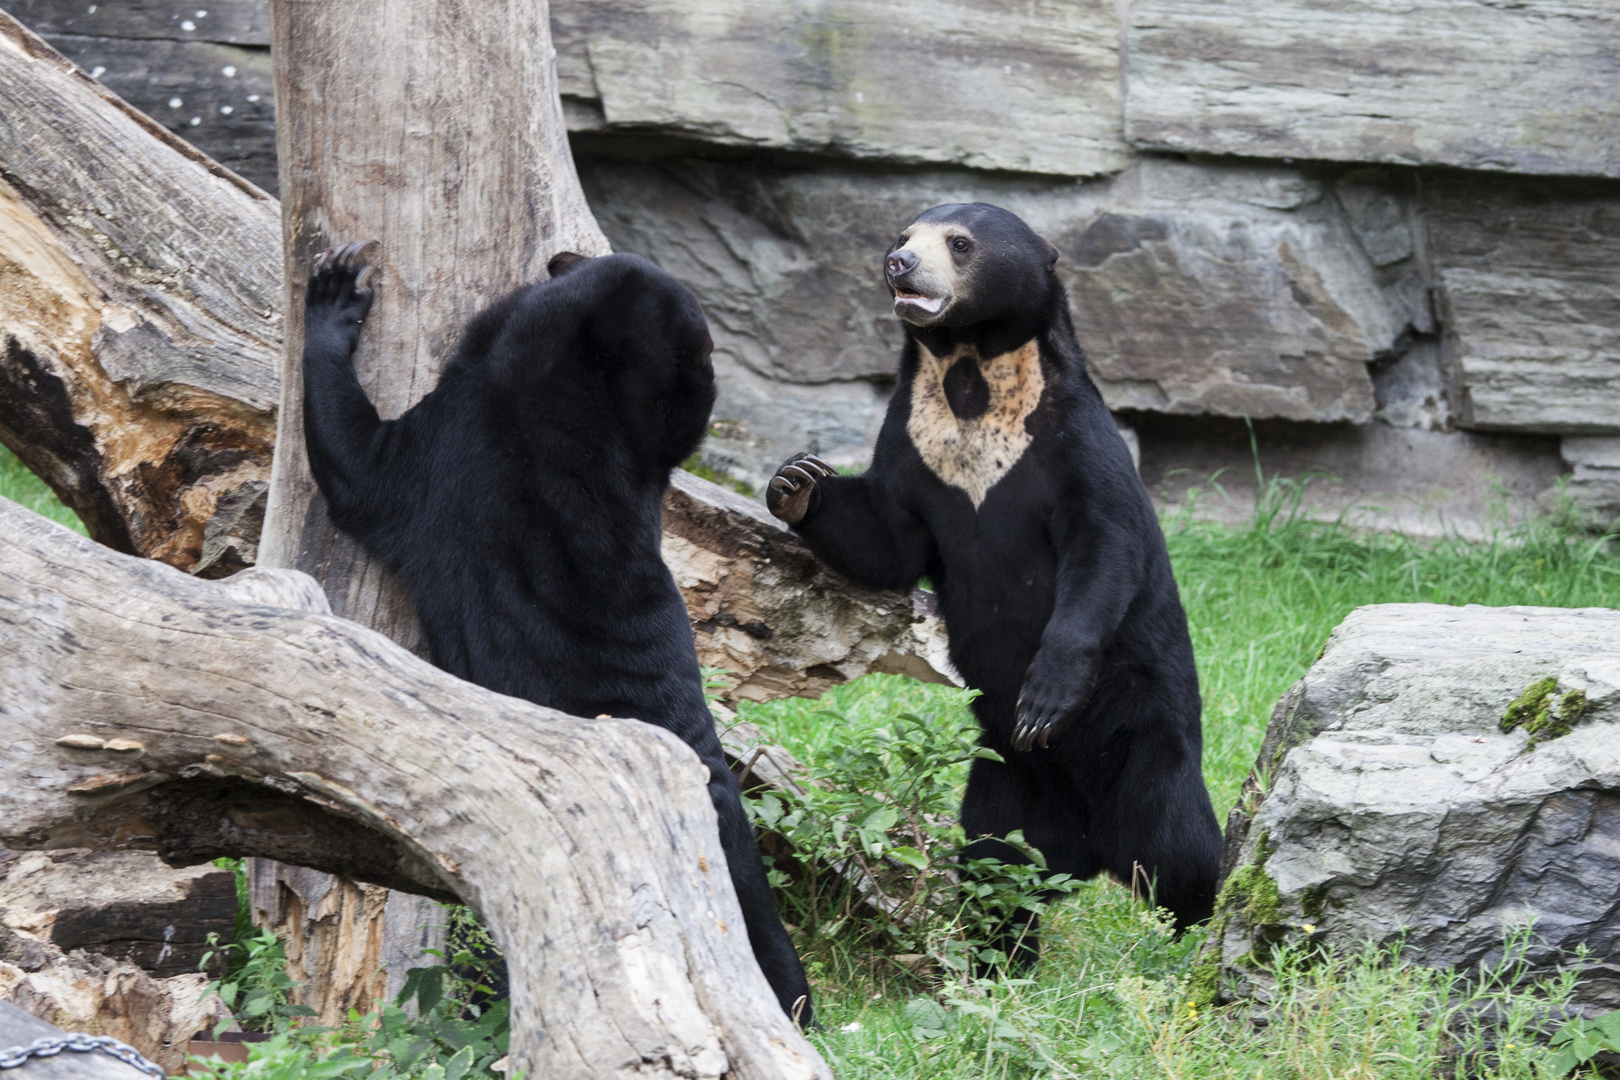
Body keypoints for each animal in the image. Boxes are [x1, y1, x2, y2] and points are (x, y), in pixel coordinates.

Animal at [767, 204, 1218, 952]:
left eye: (959, 243)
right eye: (902, 237)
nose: (898, 265)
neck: (969, 375)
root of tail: (1089, 853)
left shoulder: (1070, 440)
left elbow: (1103, 549)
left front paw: (1042, 701)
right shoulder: (914, 441)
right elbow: (887, 535)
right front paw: (797, 479)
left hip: (1146, 741)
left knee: (1181, 850)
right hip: (1003, 780)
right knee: (993, 865)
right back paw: (1000, 949)